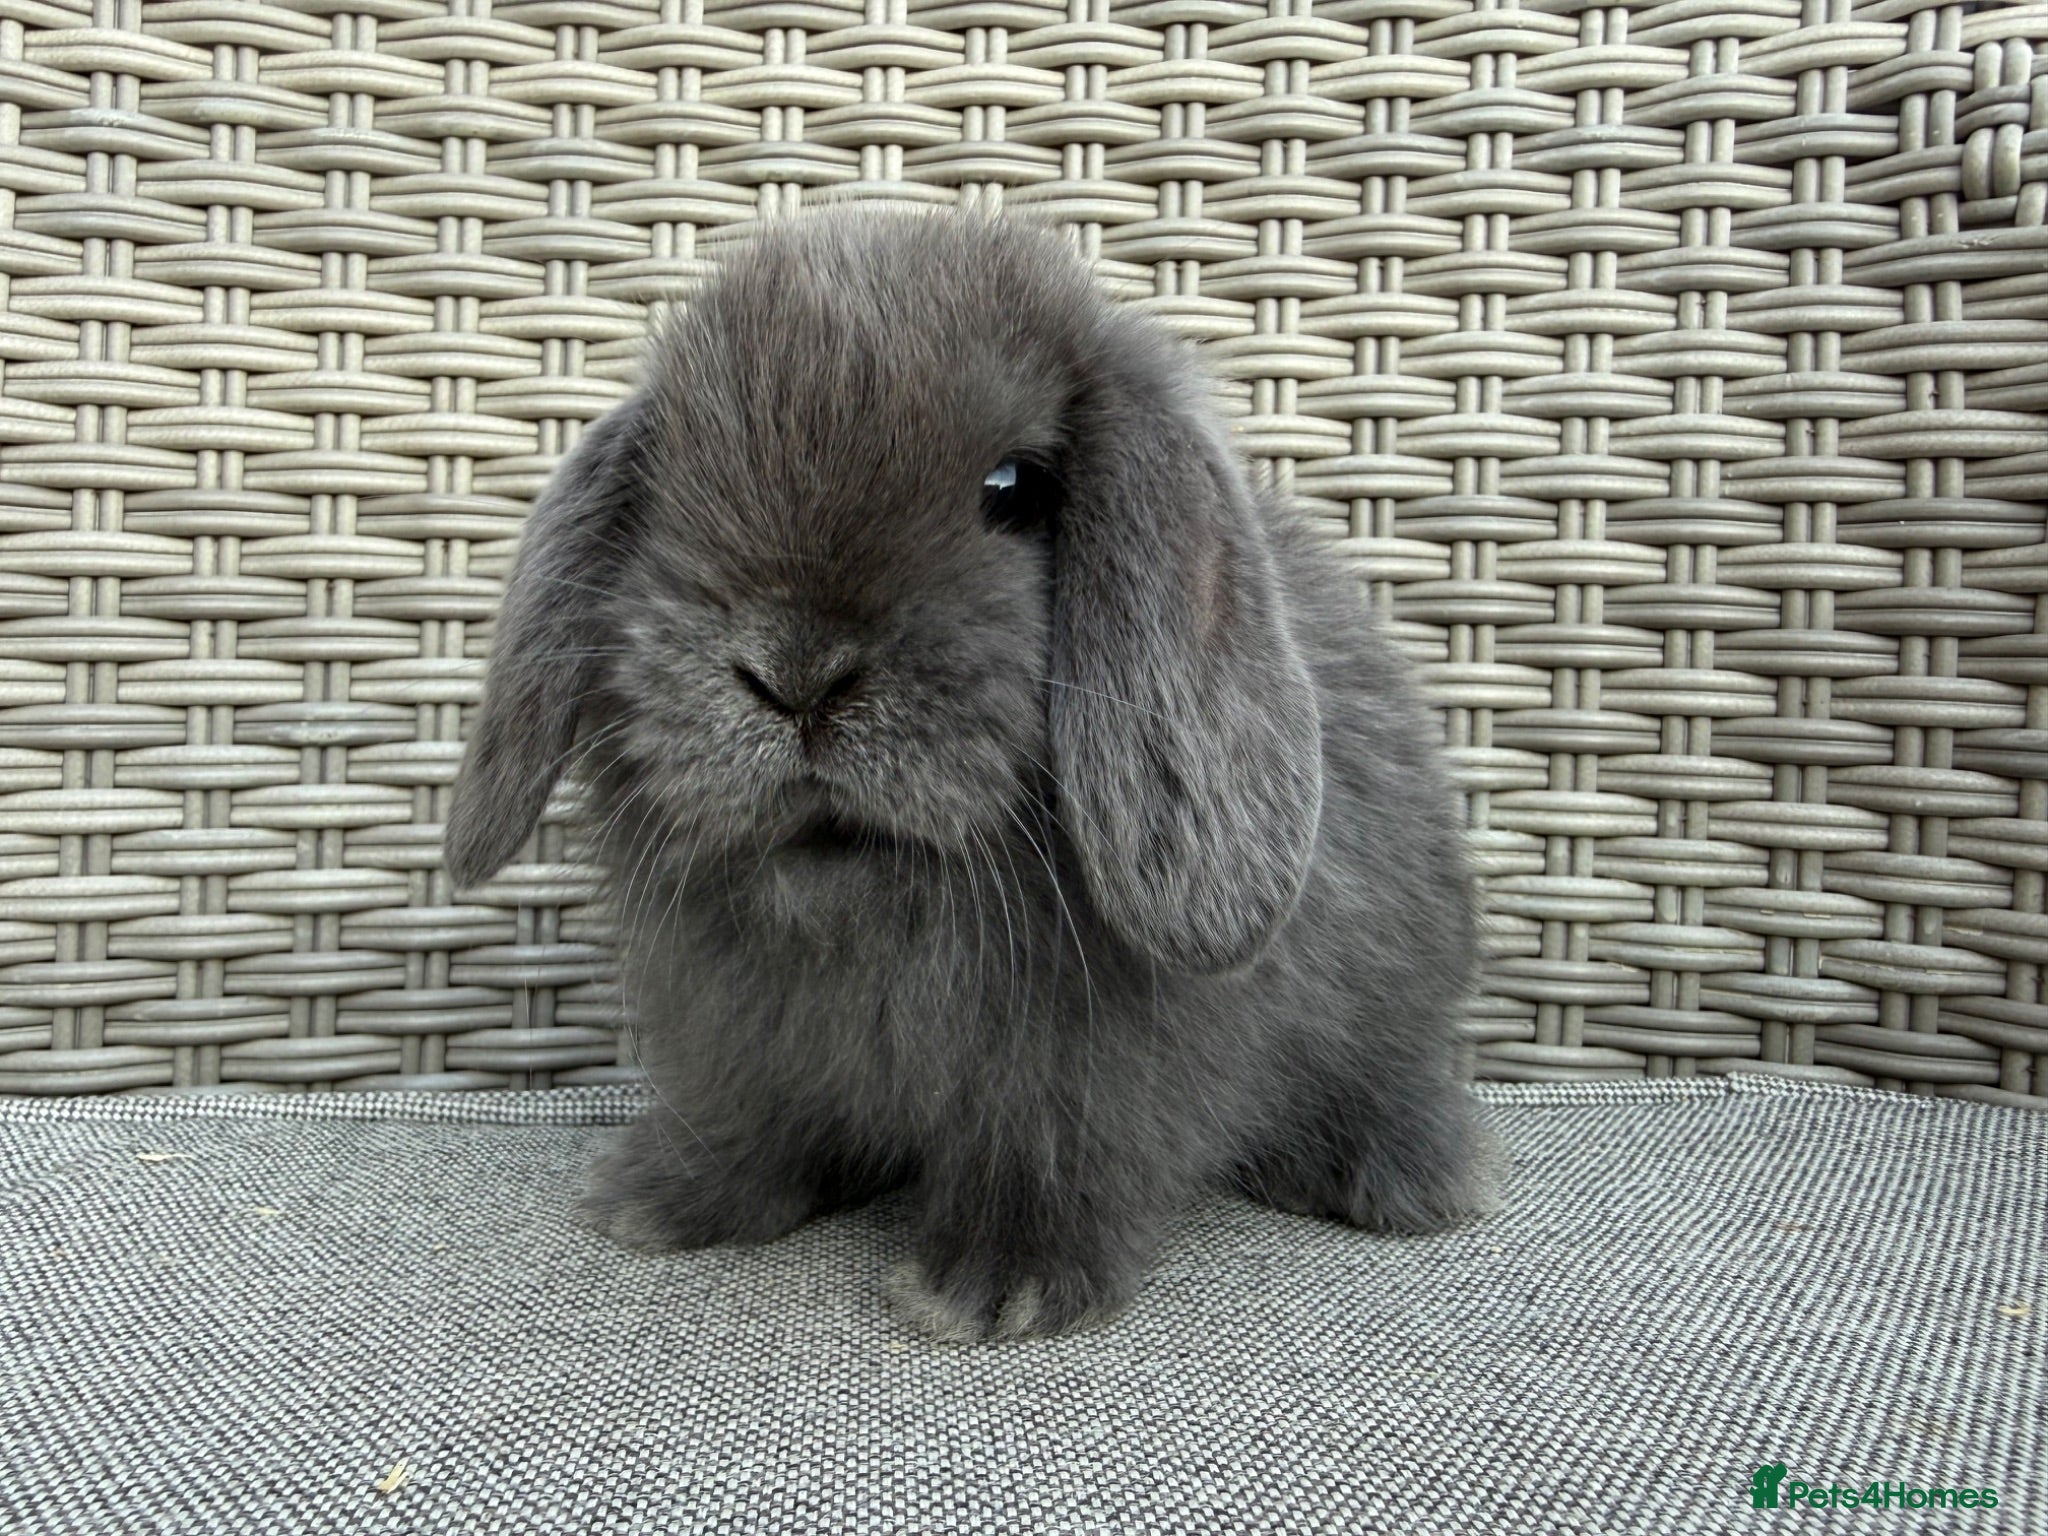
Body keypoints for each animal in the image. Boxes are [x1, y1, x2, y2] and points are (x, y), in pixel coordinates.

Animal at [445, 207, 1498, 1343]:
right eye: (664, 490)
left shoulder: (1085, 1077)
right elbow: (752, 1128)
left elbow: (1052, 1158)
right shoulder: (743, 1048)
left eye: (1014, 488)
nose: (796, 675)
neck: (869, 906)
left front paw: (994, 1288)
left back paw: (1400, 1179)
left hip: (1390, 1017)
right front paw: (658, 1200)